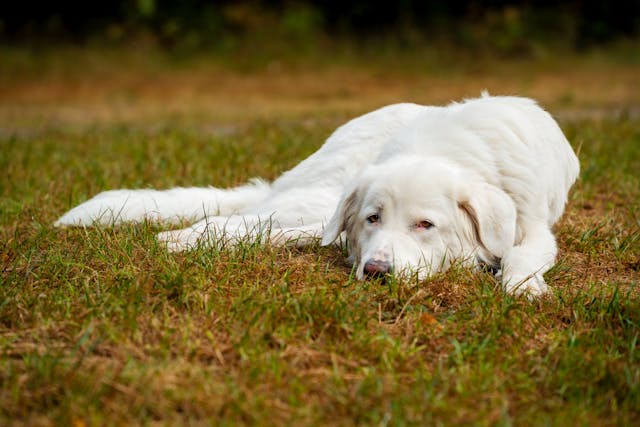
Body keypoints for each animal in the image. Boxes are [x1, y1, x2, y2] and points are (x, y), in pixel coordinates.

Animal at [57, 95, 584, 298]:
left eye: (425, 225)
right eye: (374, 218)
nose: (376, 272)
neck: (453, 149)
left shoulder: (533, 228)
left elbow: (521, 257)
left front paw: (522, 288)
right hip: (318, 198)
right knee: (244, 220)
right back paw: (180, 239)